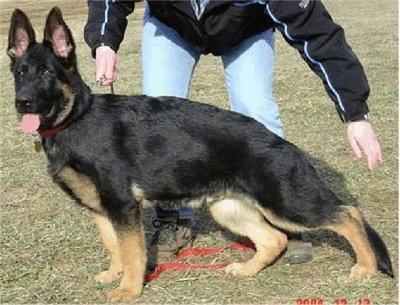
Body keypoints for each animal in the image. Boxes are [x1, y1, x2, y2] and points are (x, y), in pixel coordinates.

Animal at [7, 7, 394, 302]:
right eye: (20, 72)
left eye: (47, 72)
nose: (21, 102)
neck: (76, 117)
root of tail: (282, 143)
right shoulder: (101, 208)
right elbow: (113, 245)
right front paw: (114, 274)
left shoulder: (123, 205)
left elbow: (132, 252)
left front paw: (129, 289)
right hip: (228, 207)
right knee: (275, 239)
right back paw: (246, 269)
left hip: (286, 202)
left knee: (347, 214)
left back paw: (364, 268)